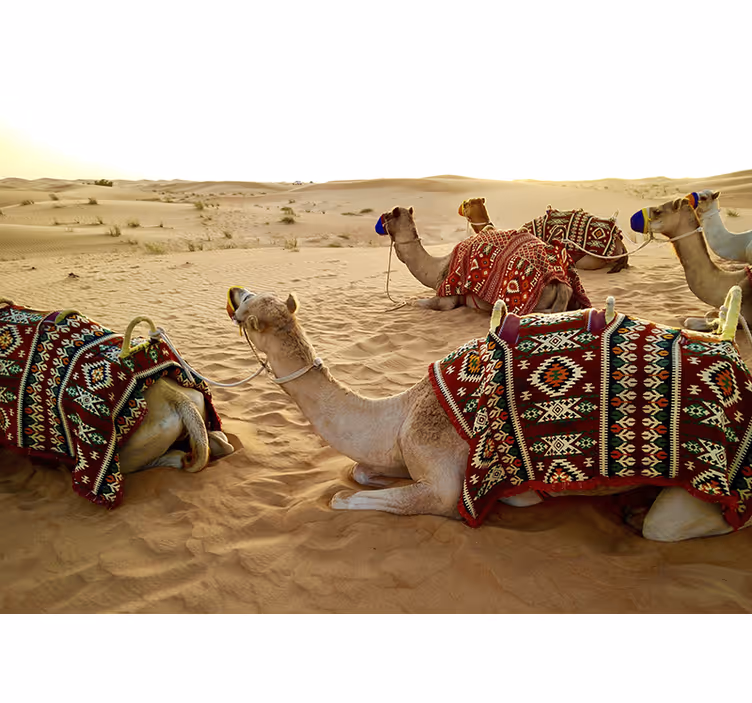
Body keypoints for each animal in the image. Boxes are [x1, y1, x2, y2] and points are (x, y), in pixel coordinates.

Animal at [227, 286, 752, 541]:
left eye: (248, 309)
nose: (233, 292)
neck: (401, 412)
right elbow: (359, 472)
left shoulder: (441, 477)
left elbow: (346, 497)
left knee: (679, 525)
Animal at [378, 206, 589, 314]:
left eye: (388, 215)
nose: (381, 220)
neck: (437, 268)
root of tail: (560, 282)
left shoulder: (447, 297)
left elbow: (420, 302)